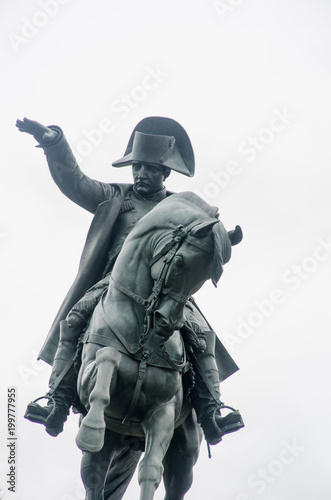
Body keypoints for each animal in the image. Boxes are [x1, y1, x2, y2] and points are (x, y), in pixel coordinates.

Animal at [74, 191, 241, 500]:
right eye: (180, 262)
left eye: (204, 278)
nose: (167, 321)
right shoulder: (86, 382)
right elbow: (107, 358)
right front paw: (91, 429)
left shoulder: (163, 411)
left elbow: (150, 470)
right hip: (101, 451)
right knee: (94, 480)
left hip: (185, 452)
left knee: (176, 484)